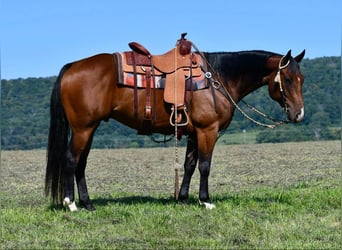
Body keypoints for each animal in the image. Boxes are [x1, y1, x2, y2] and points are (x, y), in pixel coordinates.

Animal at [44, 45, 304, 211]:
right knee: (71, 160)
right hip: (82, 128)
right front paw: (205, 200)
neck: (217, 78)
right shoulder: (207, 130)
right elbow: (205, 166)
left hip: (90, 128)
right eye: (287, 79)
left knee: (81, 163)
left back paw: (88, 203)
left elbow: (189, 165)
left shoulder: (193, 133)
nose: (299, 114)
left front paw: (184, 199)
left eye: (301, 79)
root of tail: (72, 67)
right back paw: (71, 204)